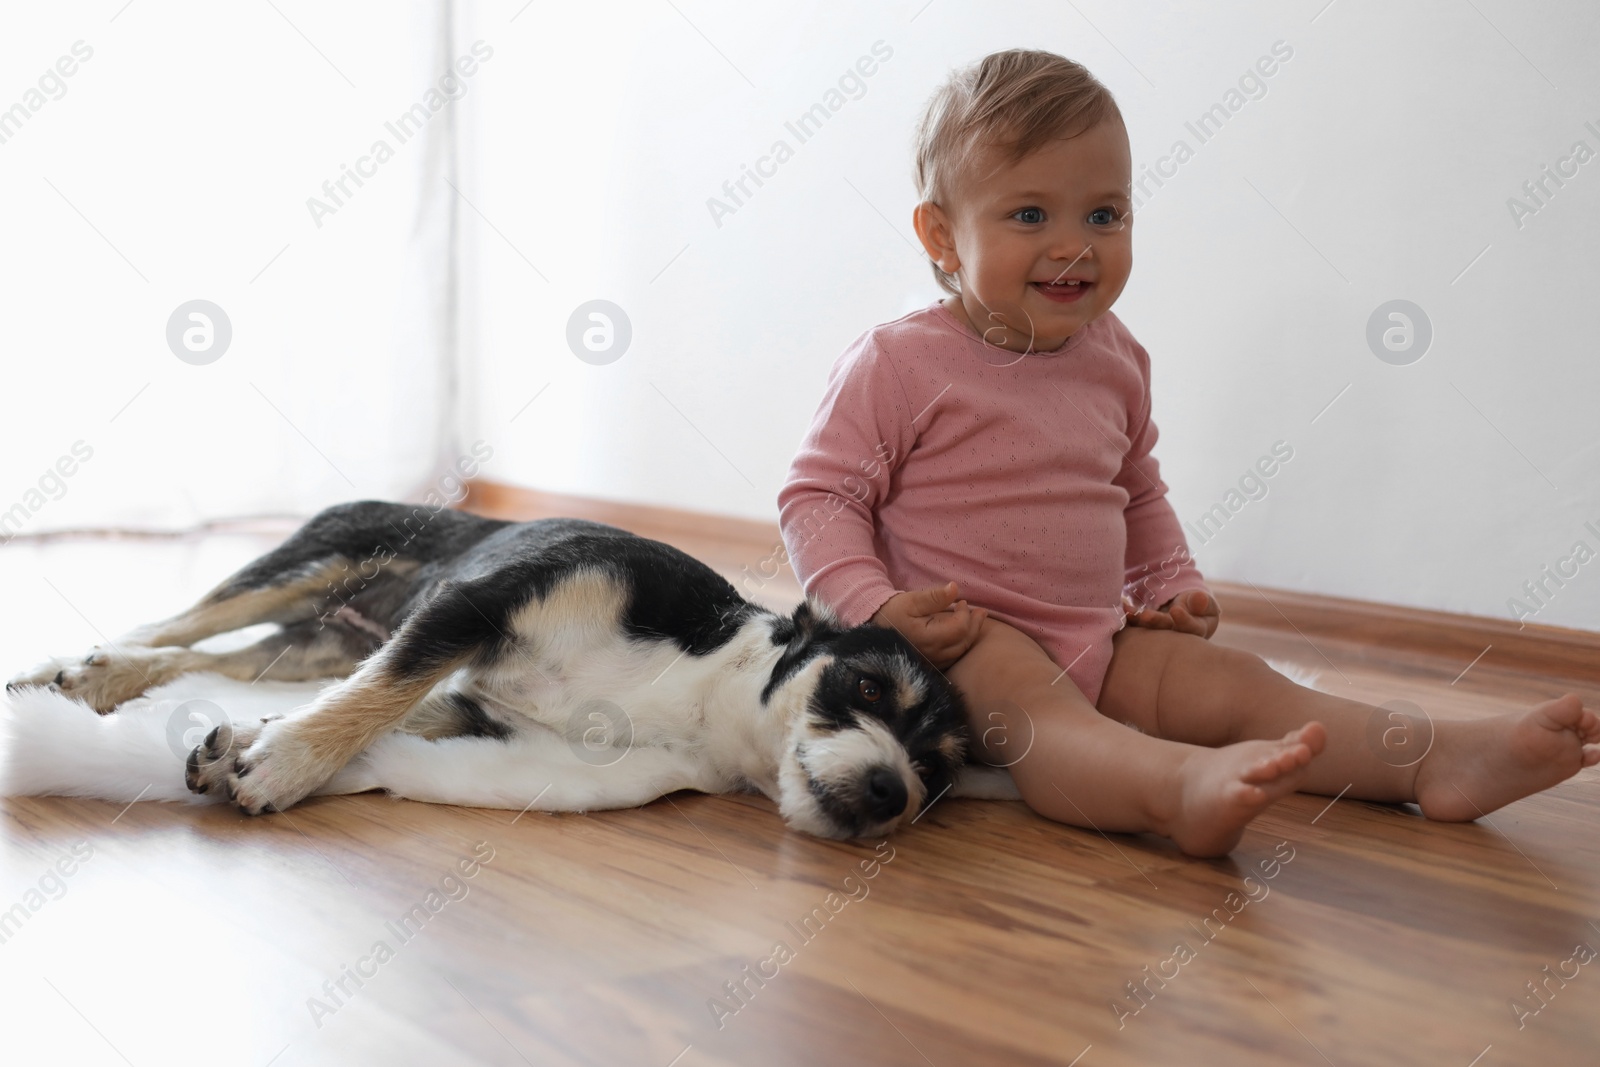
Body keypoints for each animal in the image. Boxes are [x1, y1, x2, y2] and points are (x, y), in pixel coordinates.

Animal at [6, 505, 998, 838]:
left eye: (936, 771)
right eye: (867, 687)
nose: (891, 791)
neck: (706, 688)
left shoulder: (470, 704)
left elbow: (376, 708)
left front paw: (254, 741)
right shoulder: (473, 607)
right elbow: (374, 698)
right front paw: (286, 764)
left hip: (314, 638)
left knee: (210, 654)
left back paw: (103, 679)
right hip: (311, 560)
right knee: (179, 620)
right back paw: (74, 667)